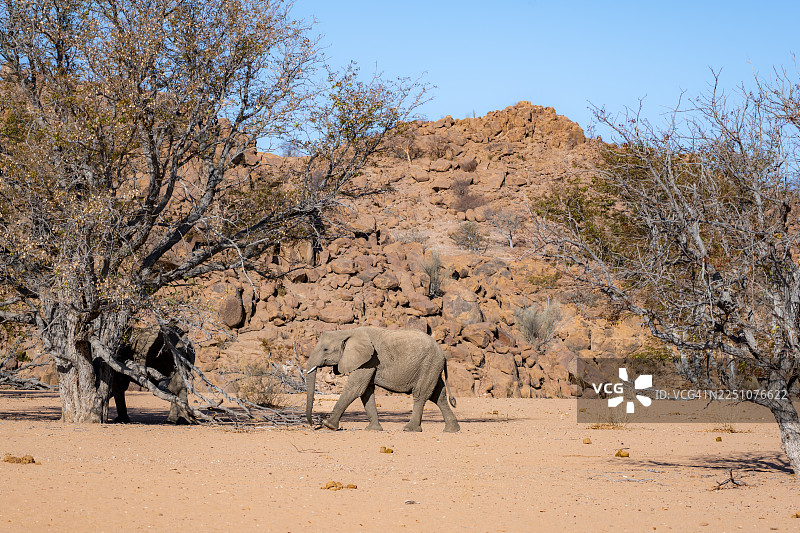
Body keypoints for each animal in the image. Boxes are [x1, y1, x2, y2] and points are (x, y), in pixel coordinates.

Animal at [305, 327, 460, 433]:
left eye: (325, 349)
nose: (313, 424)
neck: (347, 332)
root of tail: (443, 353)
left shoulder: (368, 360)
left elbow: (355, 388)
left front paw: (328, 425)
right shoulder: (367, 362)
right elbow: (366, 392)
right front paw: (373, 429)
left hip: (429, 364)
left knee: (421, 395)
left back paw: (409, 429)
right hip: (432, 367)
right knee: (438, 396)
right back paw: (452, 430)